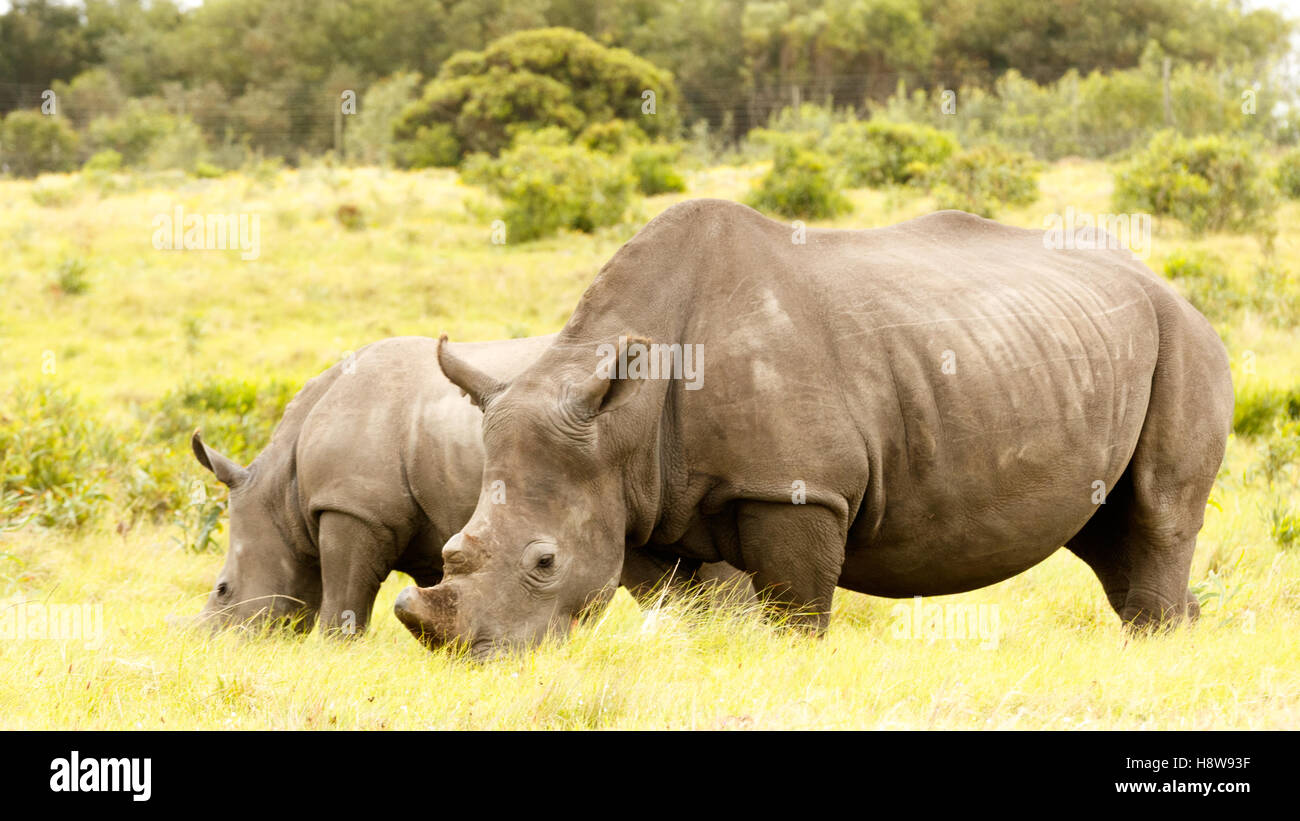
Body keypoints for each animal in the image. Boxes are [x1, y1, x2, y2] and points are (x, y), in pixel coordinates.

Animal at [390, 200, 1232, 659]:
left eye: (544, 561)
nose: (480, 658)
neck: (621, 420)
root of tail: (1166, 282)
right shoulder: (639, 499)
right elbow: (683, 607)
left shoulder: (797, 489)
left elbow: (796, 611)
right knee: (1107, 532)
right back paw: (1173, 634)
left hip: (1185, 339)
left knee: (1156, 513)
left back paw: (1156, 645)